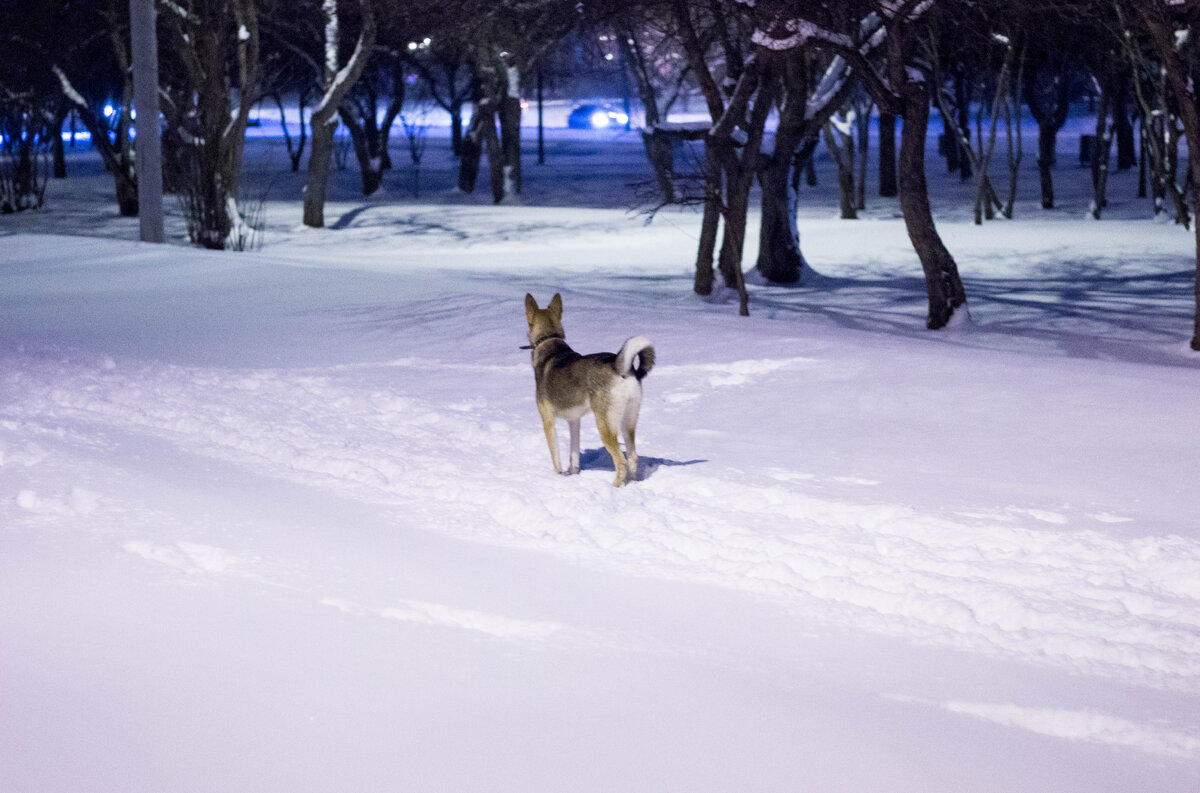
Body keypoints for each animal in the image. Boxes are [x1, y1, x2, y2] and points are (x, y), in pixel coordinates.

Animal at [523, 292, 657, 484]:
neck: (548, 341)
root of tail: (618, 366)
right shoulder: (574, 421)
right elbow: (574, 457)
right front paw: (573, 475)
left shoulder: (548, 422)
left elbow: (556, 460)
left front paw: (558, 477)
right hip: (628, 423)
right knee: (632, 458)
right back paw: (630, 484)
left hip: (605, 425)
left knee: (621, 462)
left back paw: (615, 486)